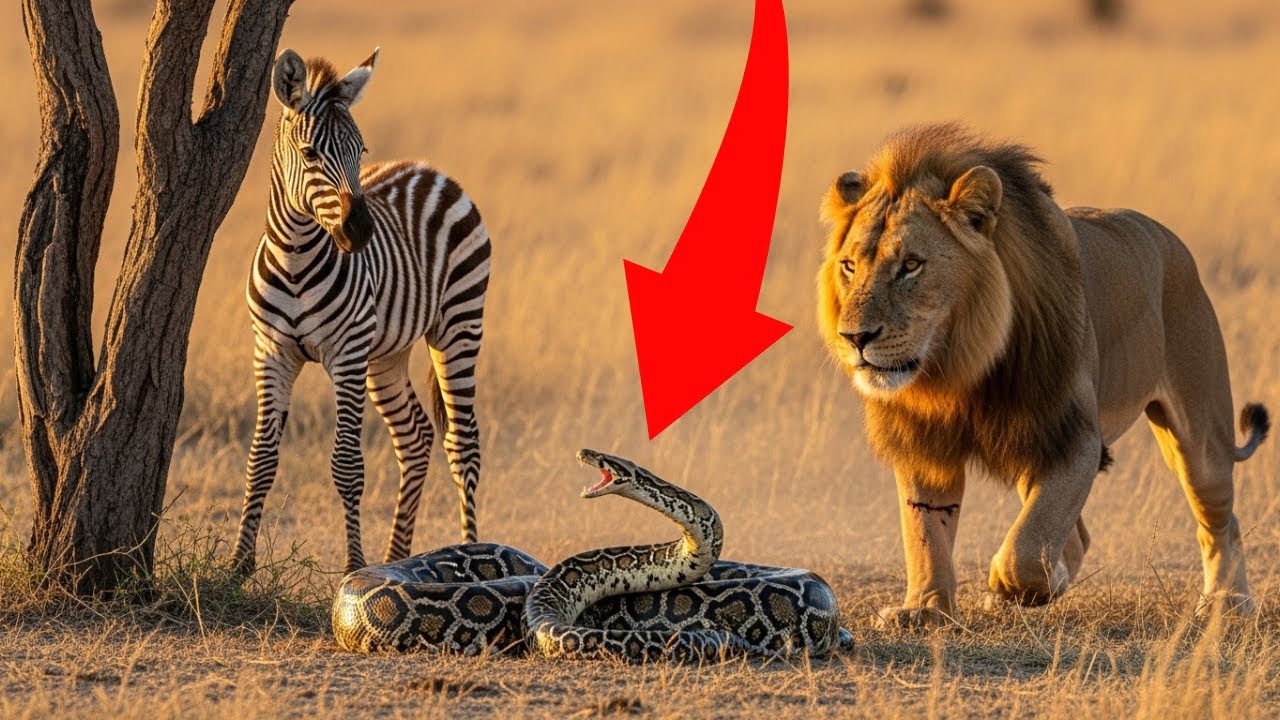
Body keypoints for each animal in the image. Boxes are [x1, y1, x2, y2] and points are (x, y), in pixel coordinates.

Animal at [232, 48, 490, 575]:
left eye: (361, 151)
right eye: (310, 154)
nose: (361, 232)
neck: (296, 259)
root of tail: (429, 170)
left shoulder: (346, 354)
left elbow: (348, 464)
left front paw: (354, 563)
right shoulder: (270, 352)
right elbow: (261, 458)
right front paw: (239, 564)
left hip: (459, 323)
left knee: (463, 445)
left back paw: (471, 550)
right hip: (386, 353)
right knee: (414, 436)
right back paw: (395, 555)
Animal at [817, 123, 1270, 625]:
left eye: (911, 265)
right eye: (849, 266)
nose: (854, 337)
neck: (957, 369)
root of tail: (1171, 241)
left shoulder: (1073, 437)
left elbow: (1026, 548)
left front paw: (1010, 584)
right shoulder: (923, 438)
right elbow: (926, 530)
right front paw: (926, 608)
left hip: (1199, 440)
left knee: (1220, 519)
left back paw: (1228, 601)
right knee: (1078, 534)